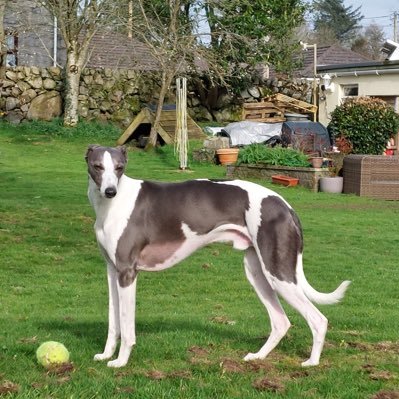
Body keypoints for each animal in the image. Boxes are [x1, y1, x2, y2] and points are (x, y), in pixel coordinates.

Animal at [85, 145, 350, 370]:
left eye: (119, 167)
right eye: (98, 166)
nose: (110, 191)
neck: (113, 205)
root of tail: (285, 205)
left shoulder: (128, 272)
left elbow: (126, 325)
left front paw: (120, 362)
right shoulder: (113, 272)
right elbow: (113, 321)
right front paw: (106, 354)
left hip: (278, 273)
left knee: (318, 319)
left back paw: (312, 362)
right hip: (257, 272)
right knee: (281, 321)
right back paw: (258, 356)